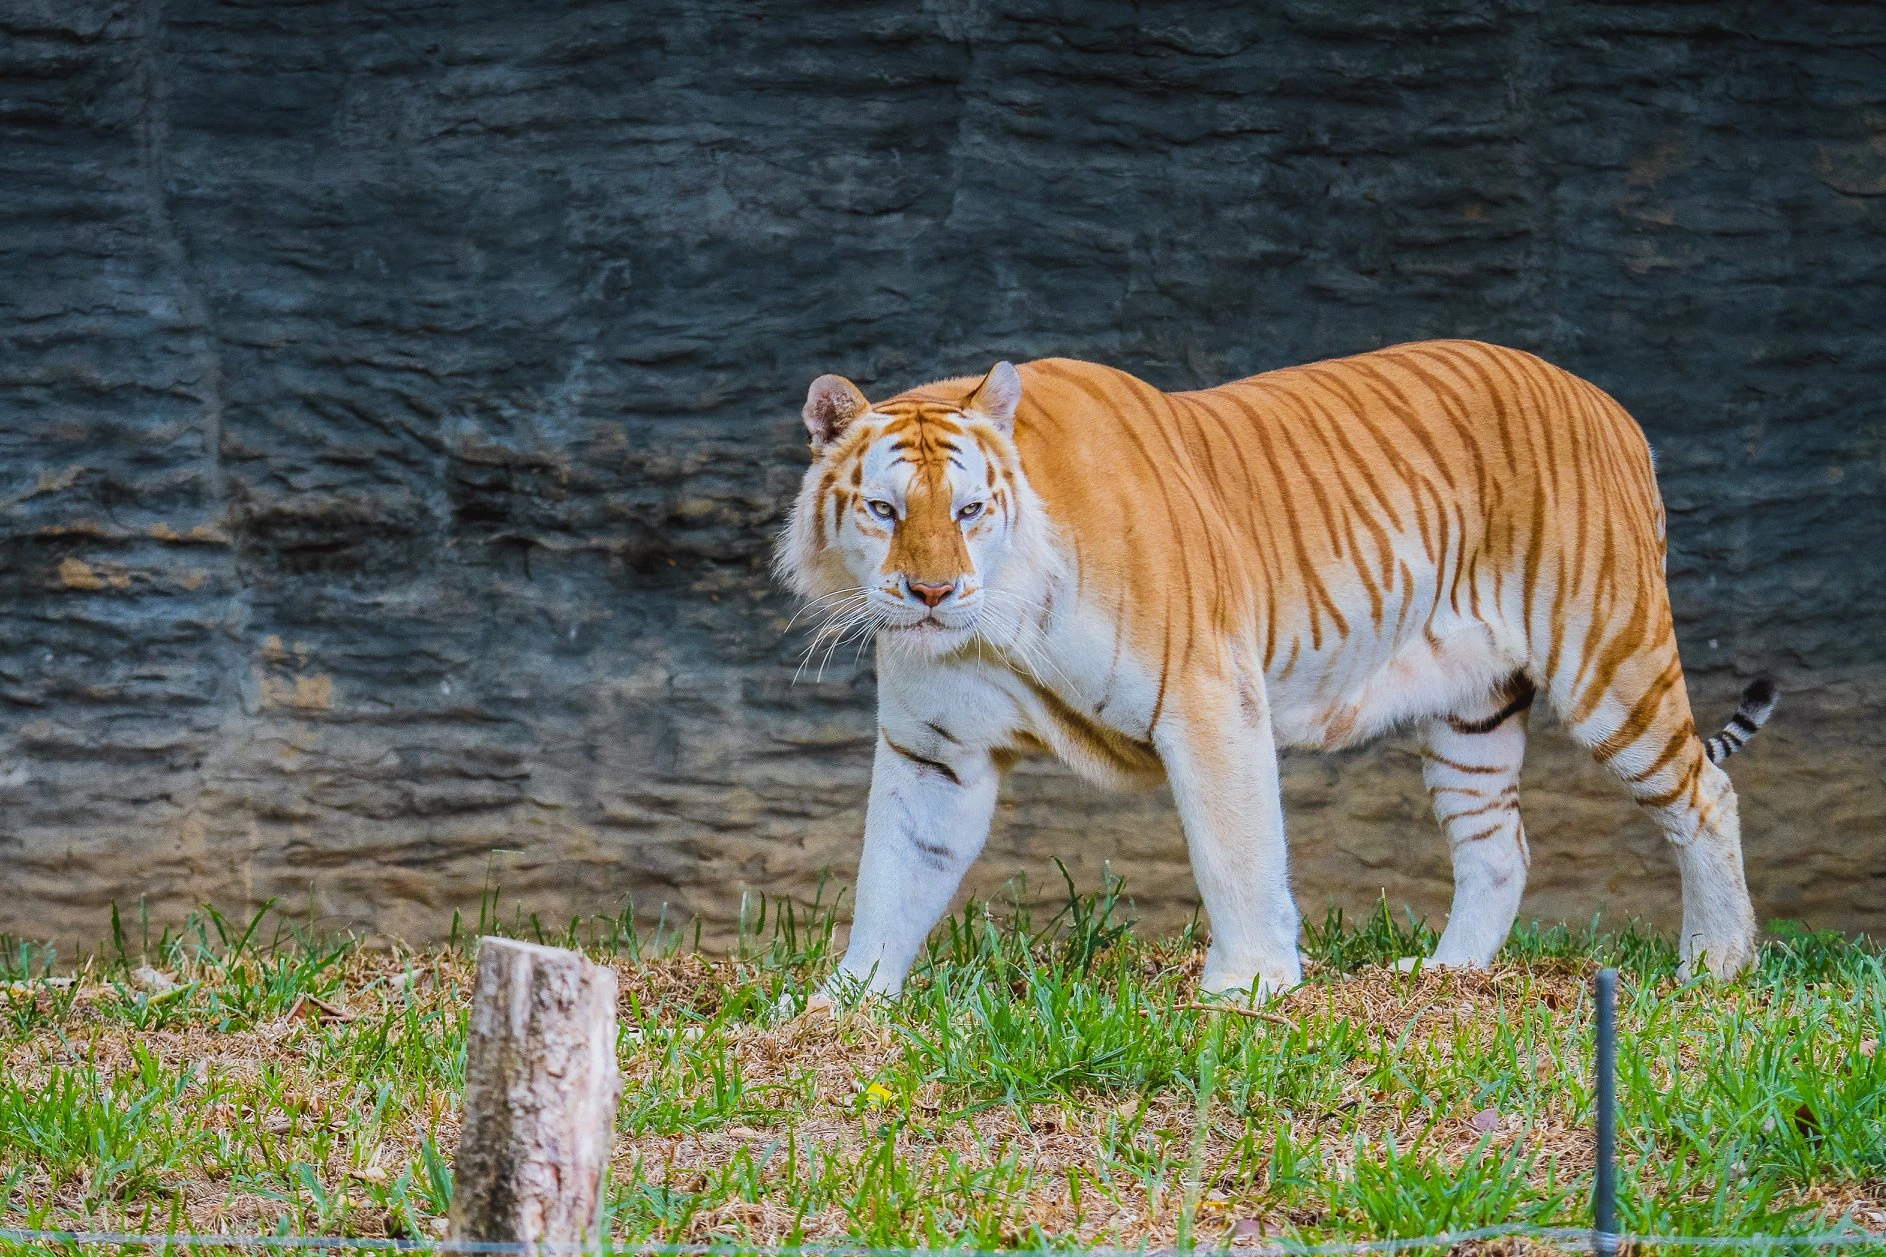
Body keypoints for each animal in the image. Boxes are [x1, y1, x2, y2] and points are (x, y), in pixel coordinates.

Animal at [775, 340, 1776, 1004]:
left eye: (970, 509)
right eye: (883, 510)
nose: (933, 592)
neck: (997, 624)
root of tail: (1609, 402)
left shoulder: (1208, 695)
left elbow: (1235, 847)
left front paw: (1248, 988)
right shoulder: (935, 751)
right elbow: (895, 871)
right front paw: (847, 1003)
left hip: (1609, 656)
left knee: (1705, 792)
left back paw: (1716, 964)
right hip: (1471, 716)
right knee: (1500, 847)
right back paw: (1445, 974)